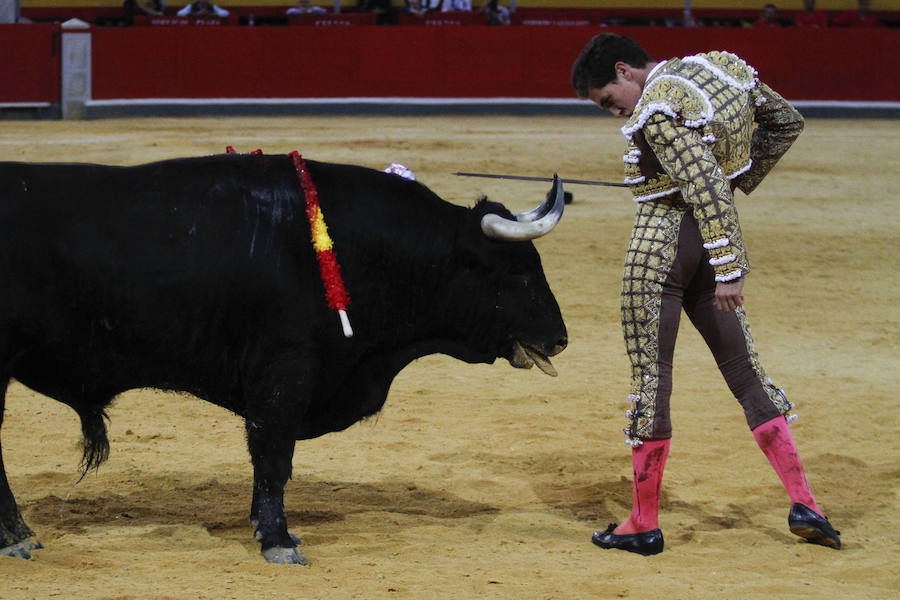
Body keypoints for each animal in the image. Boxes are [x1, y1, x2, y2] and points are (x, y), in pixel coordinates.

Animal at [0, 152, 568, 564]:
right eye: (517, 273)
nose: (561, 339)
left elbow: (268, 459)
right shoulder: (285, 371)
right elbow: (273, 456)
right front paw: (278, 541)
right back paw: (19, 537)